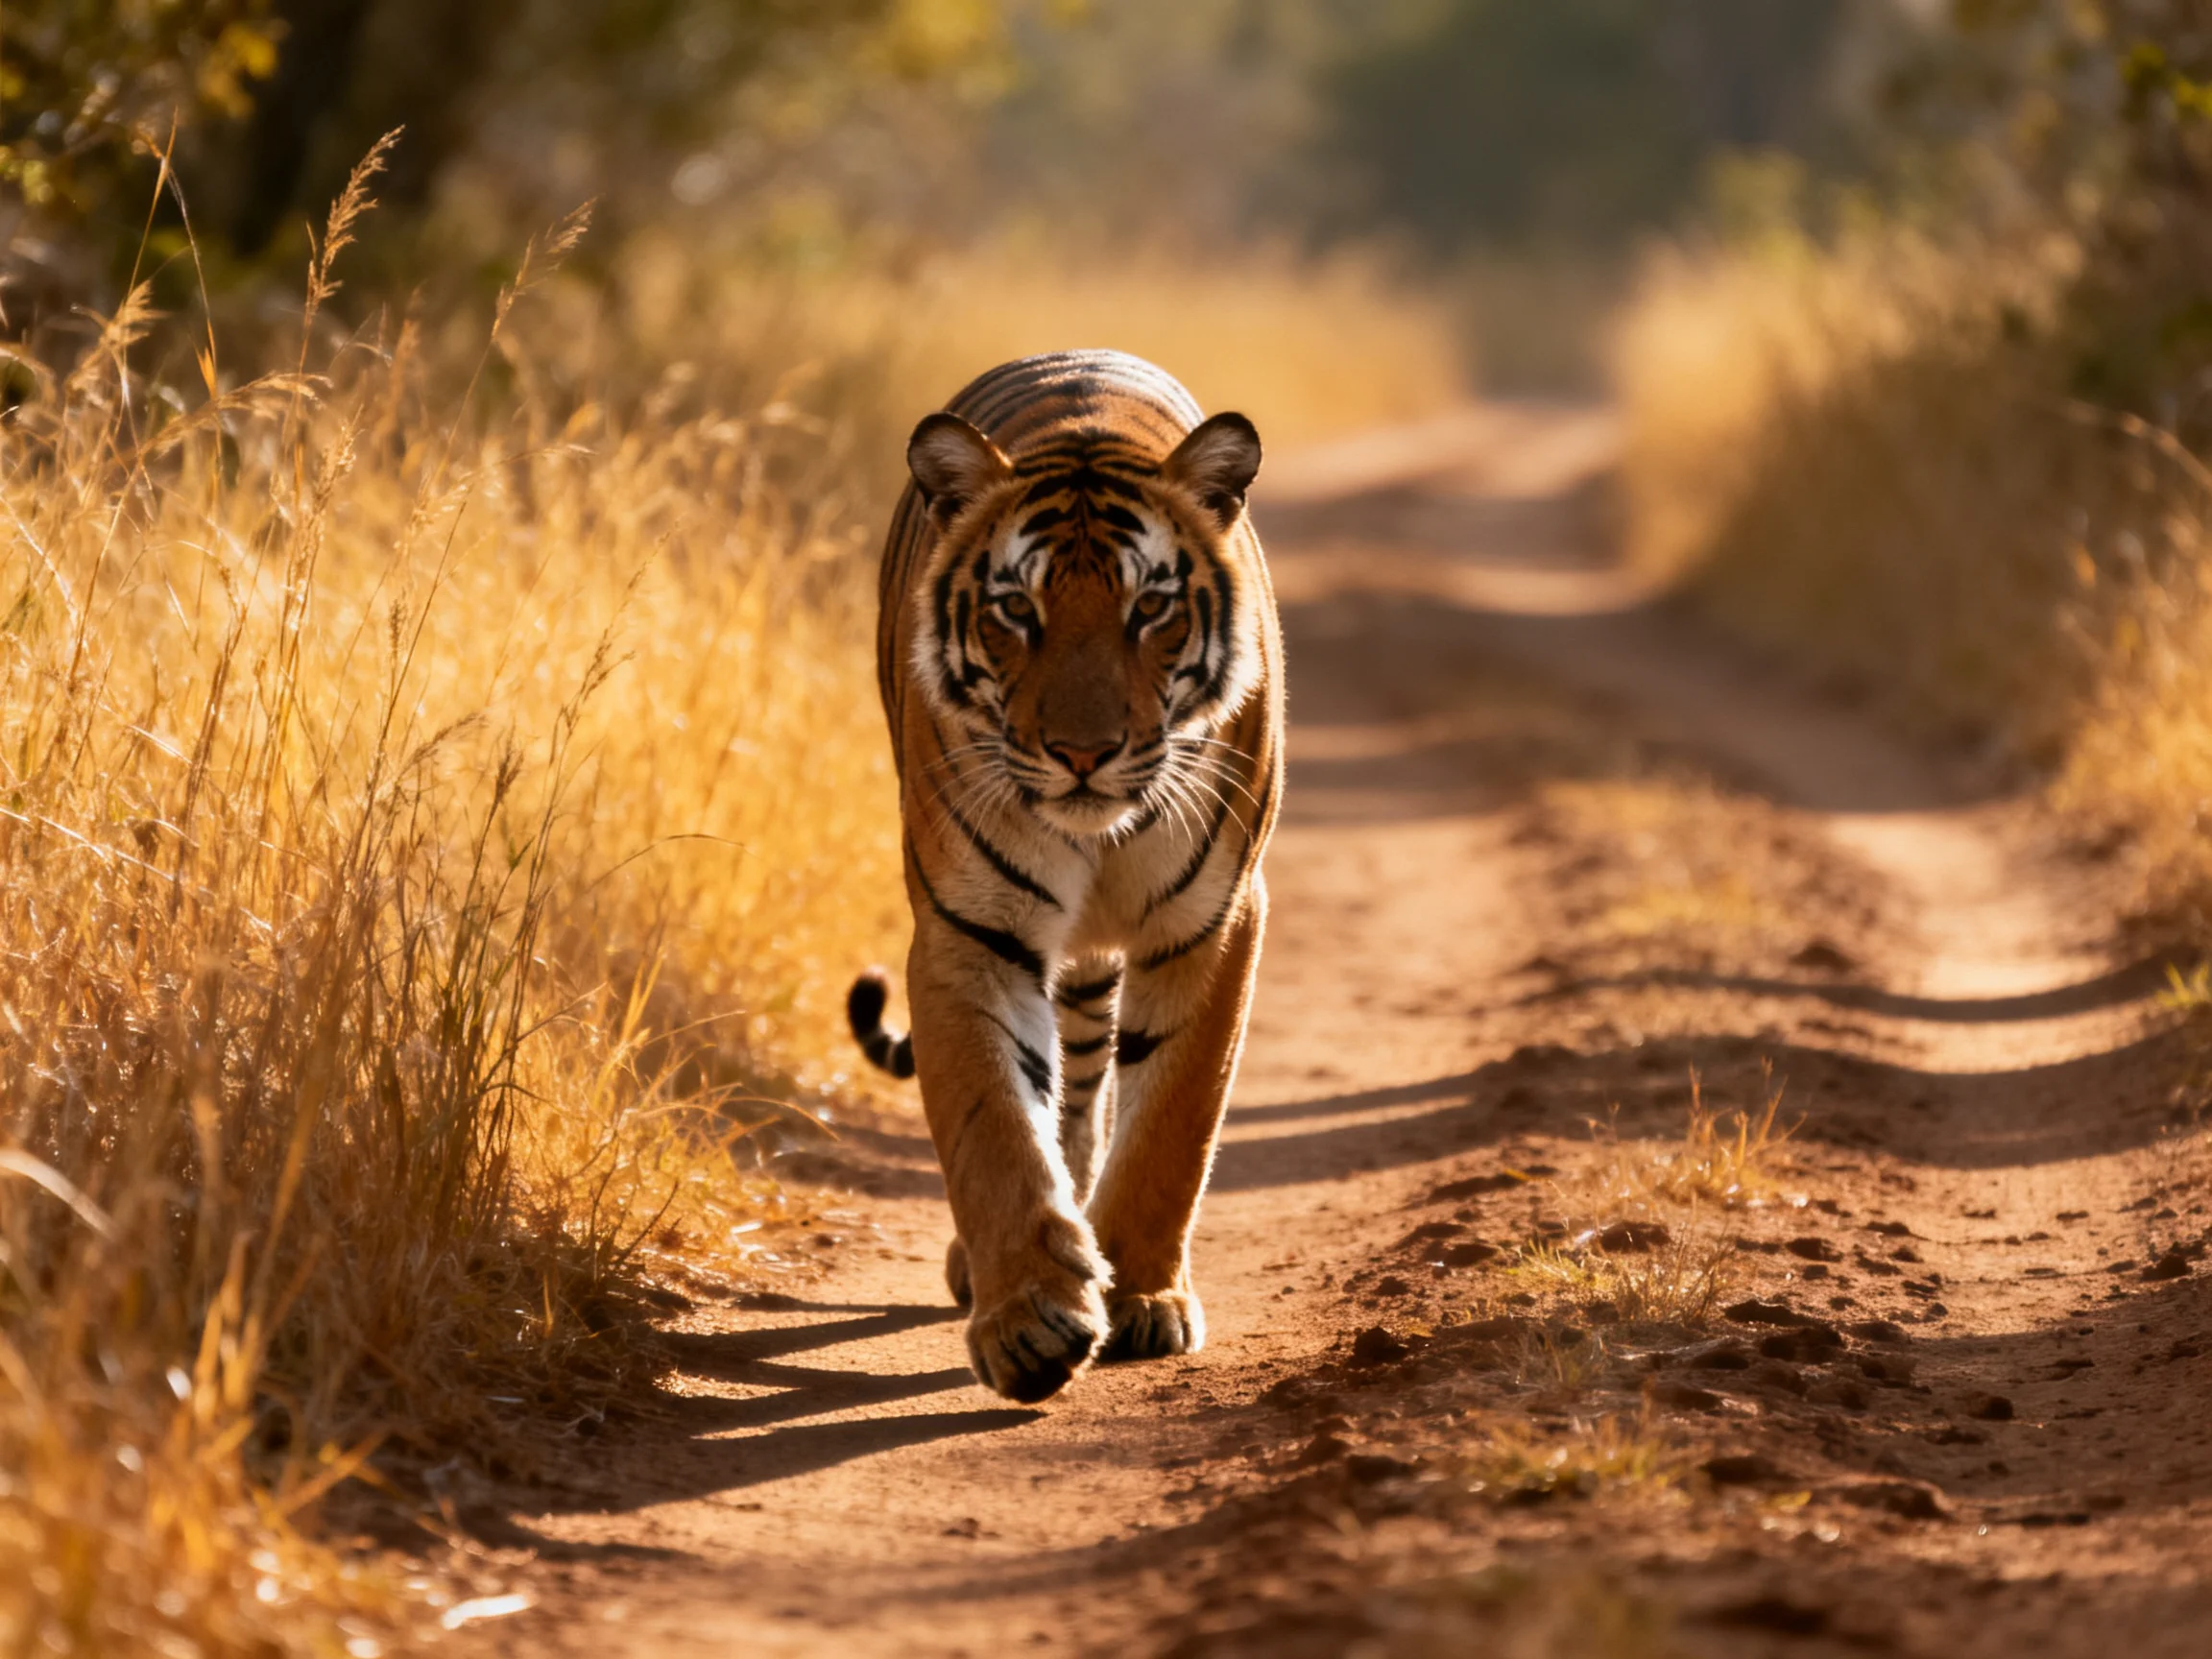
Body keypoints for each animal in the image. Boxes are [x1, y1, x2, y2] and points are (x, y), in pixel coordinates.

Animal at [844, 350, 1284, 1404]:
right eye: (1017, 609)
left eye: (1149, 608)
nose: (1083, 753)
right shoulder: (970, 931)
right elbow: (995, 1123)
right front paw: (1030, 1320)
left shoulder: (1212, 922)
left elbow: (1173, 1121)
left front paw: (1141, 1296)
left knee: (1089, 1093)